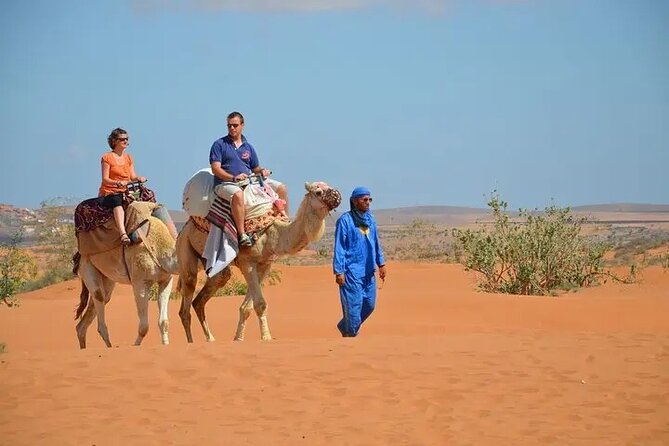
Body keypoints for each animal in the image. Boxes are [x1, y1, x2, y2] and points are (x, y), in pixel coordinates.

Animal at [73, 203, 179, 348]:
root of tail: (79, 255)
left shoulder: (166, 280)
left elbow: (164, 322)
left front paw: (165, 345)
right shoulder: (139, 282)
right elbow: (144, 327)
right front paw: (136, 346)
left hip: (106, 277)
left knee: (87, 319)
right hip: (87, 265)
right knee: (99, 298)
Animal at [176, 181, 340, 342]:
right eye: (318, 192)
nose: (337, 195)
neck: (273, 234)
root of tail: (184, 229)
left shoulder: (265, 264)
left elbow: (246, 307)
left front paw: (238, 338)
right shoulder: (247, 263)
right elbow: (260, 304)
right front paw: (266, 337)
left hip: (213, 263)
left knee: (207, 292)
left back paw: (210, 339)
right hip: (185, 248)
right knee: (186, 300)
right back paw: (190, 343)